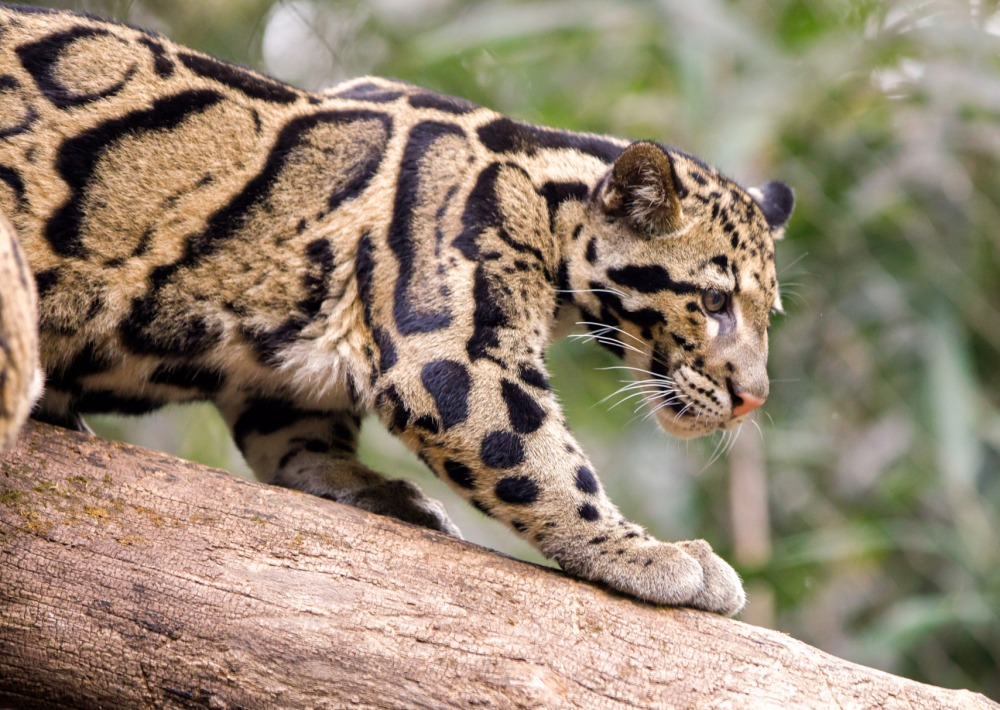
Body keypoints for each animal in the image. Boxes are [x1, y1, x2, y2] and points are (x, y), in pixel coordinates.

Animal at [0, 1, 792, 616]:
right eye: (714, 301)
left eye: (768, 314)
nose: (754, 398)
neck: (547, 200)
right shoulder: (448, 355)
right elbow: (541, 459)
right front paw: (650, 554)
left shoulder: (286, 375)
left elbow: (296, 439)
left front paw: (370, 488)